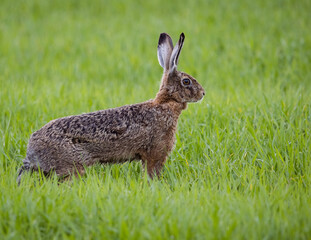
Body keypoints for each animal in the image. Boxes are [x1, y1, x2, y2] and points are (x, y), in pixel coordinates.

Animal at [17, 32, 207, 184]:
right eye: (186, 81)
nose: (203, 93)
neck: (166, 103)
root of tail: (32, 153)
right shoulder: (155, 152)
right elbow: (152, 172)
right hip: (72, 167)